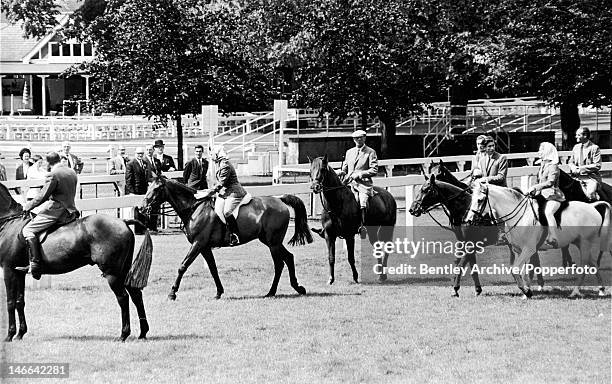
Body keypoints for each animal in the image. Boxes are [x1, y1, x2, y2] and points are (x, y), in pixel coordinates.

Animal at [0, 183, 152, 342]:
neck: (11, 223)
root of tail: (122, 221)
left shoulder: (8, 270)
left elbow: (10, 302)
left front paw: (9, 335)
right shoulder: (18, 272)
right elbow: (19, 301)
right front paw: (20, 334)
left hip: (113, 274)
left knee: (123, 298)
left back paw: (123, 334)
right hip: (124, 271)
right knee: (136, 295)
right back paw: (143, 332)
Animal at [138, 176, 310, 300]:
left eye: (157, 188)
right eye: (148, 187)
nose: (141, 208)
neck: (194, 208)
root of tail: (279, 199)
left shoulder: (198, 244)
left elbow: (183, 266)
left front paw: (172, 293)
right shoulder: (205, 247)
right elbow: (213, 269)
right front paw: (219, 292)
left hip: (273, 243)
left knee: (280, 263)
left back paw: (273, 291)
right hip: (271, 242)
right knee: (288, 258)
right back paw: (295, 288)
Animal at [310, 154, 396, 284]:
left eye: (323, 169)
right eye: (310, 170)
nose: (315, 187)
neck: (336, 204)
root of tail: (389, 195)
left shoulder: (349, 235)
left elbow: (351, 258)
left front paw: (355, 277)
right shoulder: (329, 236)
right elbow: (331, 258)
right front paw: (331, 279)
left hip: (386, 229)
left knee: (387, 248)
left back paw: (383, 275)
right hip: (372, 231)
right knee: (378, 249)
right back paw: (380, 273)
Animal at [466, 182, 608, 298]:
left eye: (480, 200)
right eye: (471, 199)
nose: (468, 220)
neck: (520, 216)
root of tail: (592, 207)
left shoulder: (529, 249)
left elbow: (516, 269)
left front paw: (526, 291)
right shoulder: (519, 250)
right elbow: (523, 271)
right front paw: (527, 292)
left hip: (585, 243)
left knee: (584, 266)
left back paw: (575, 292)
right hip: (580, 242)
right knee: (593, 263)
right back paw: (601, 289)